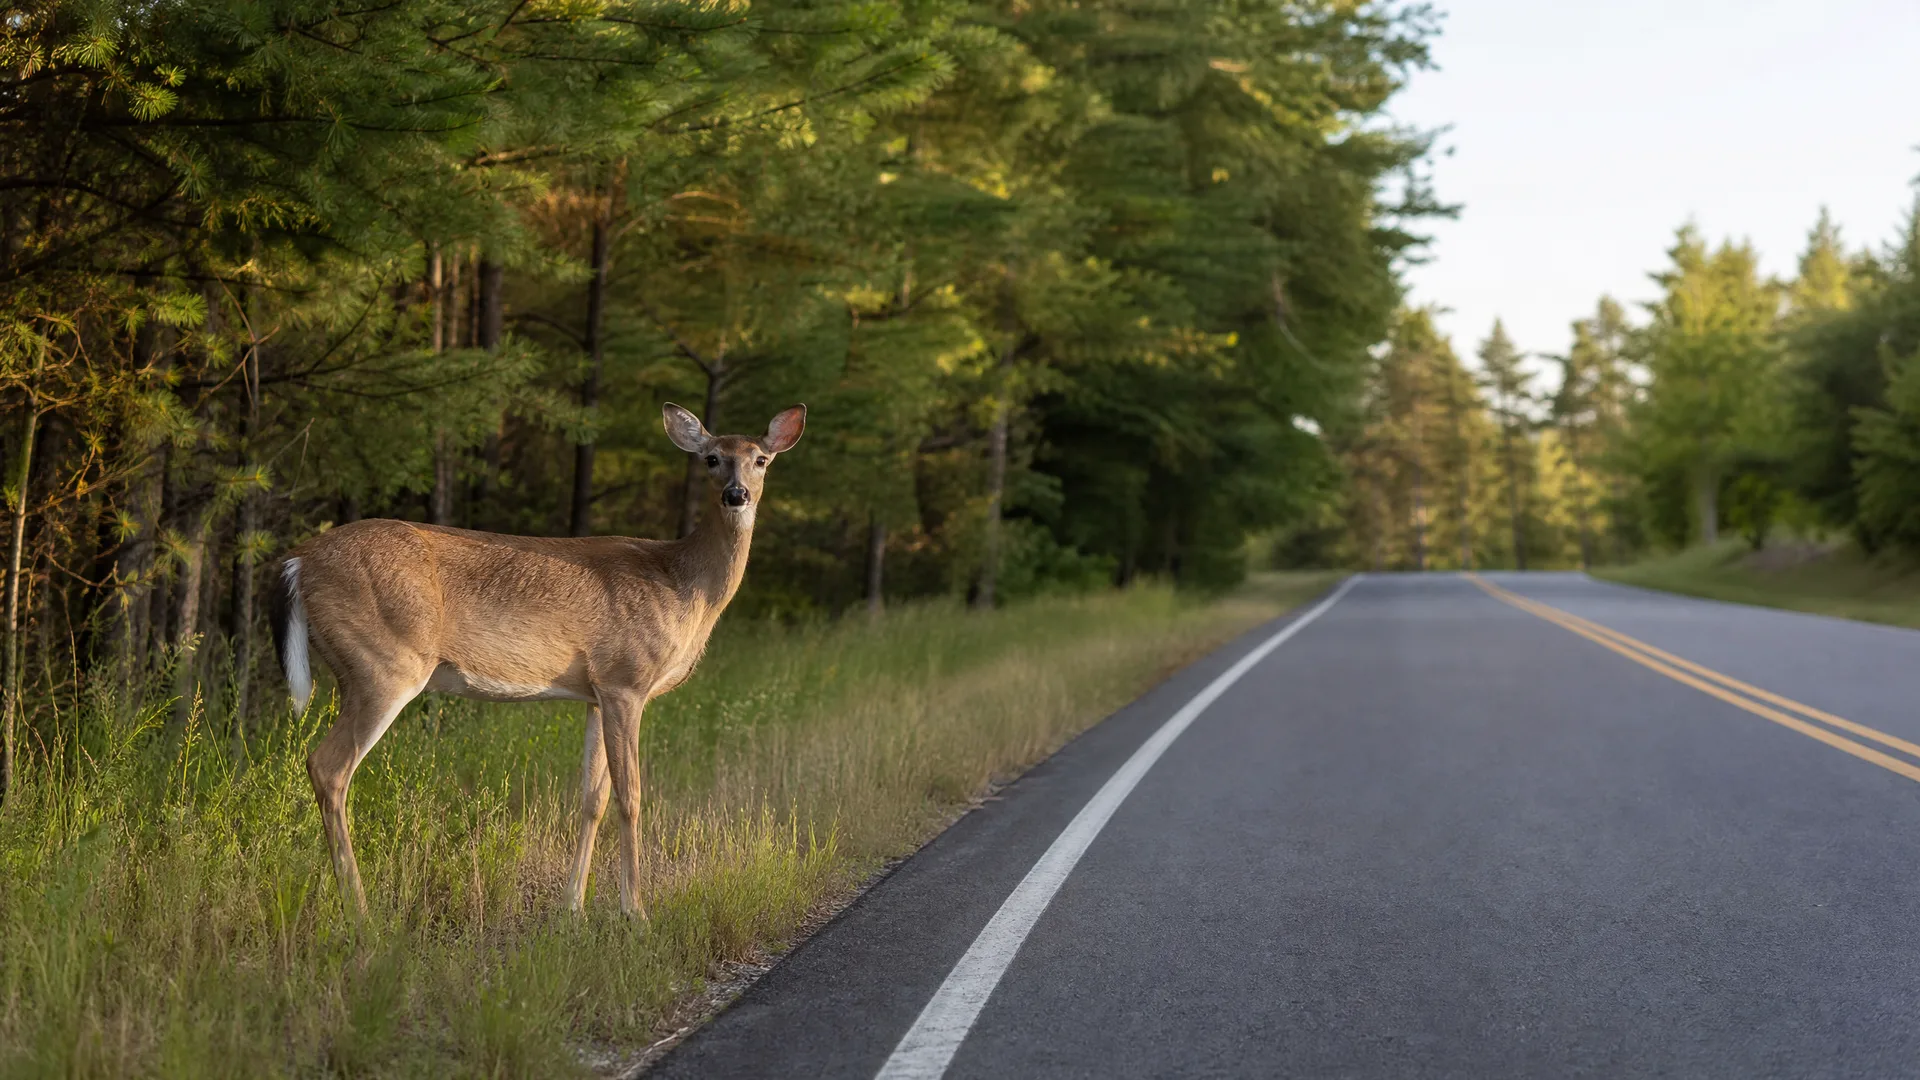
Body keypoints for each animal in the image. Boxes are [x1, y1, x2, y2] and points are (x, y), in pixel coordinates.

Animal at [269, 403, 805, 918]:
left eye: (761, 459)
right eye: (712, 458)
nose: (736, 494)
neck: (682, 584)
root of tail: (298, 560)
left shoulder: (597, 692)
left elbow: (592, 798)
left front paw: (572, 908)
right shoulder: (626, 679)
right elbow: (630, 797)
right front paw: (635, 912)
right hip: (383, 663)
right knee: (328, 766)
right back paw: (360, 914)